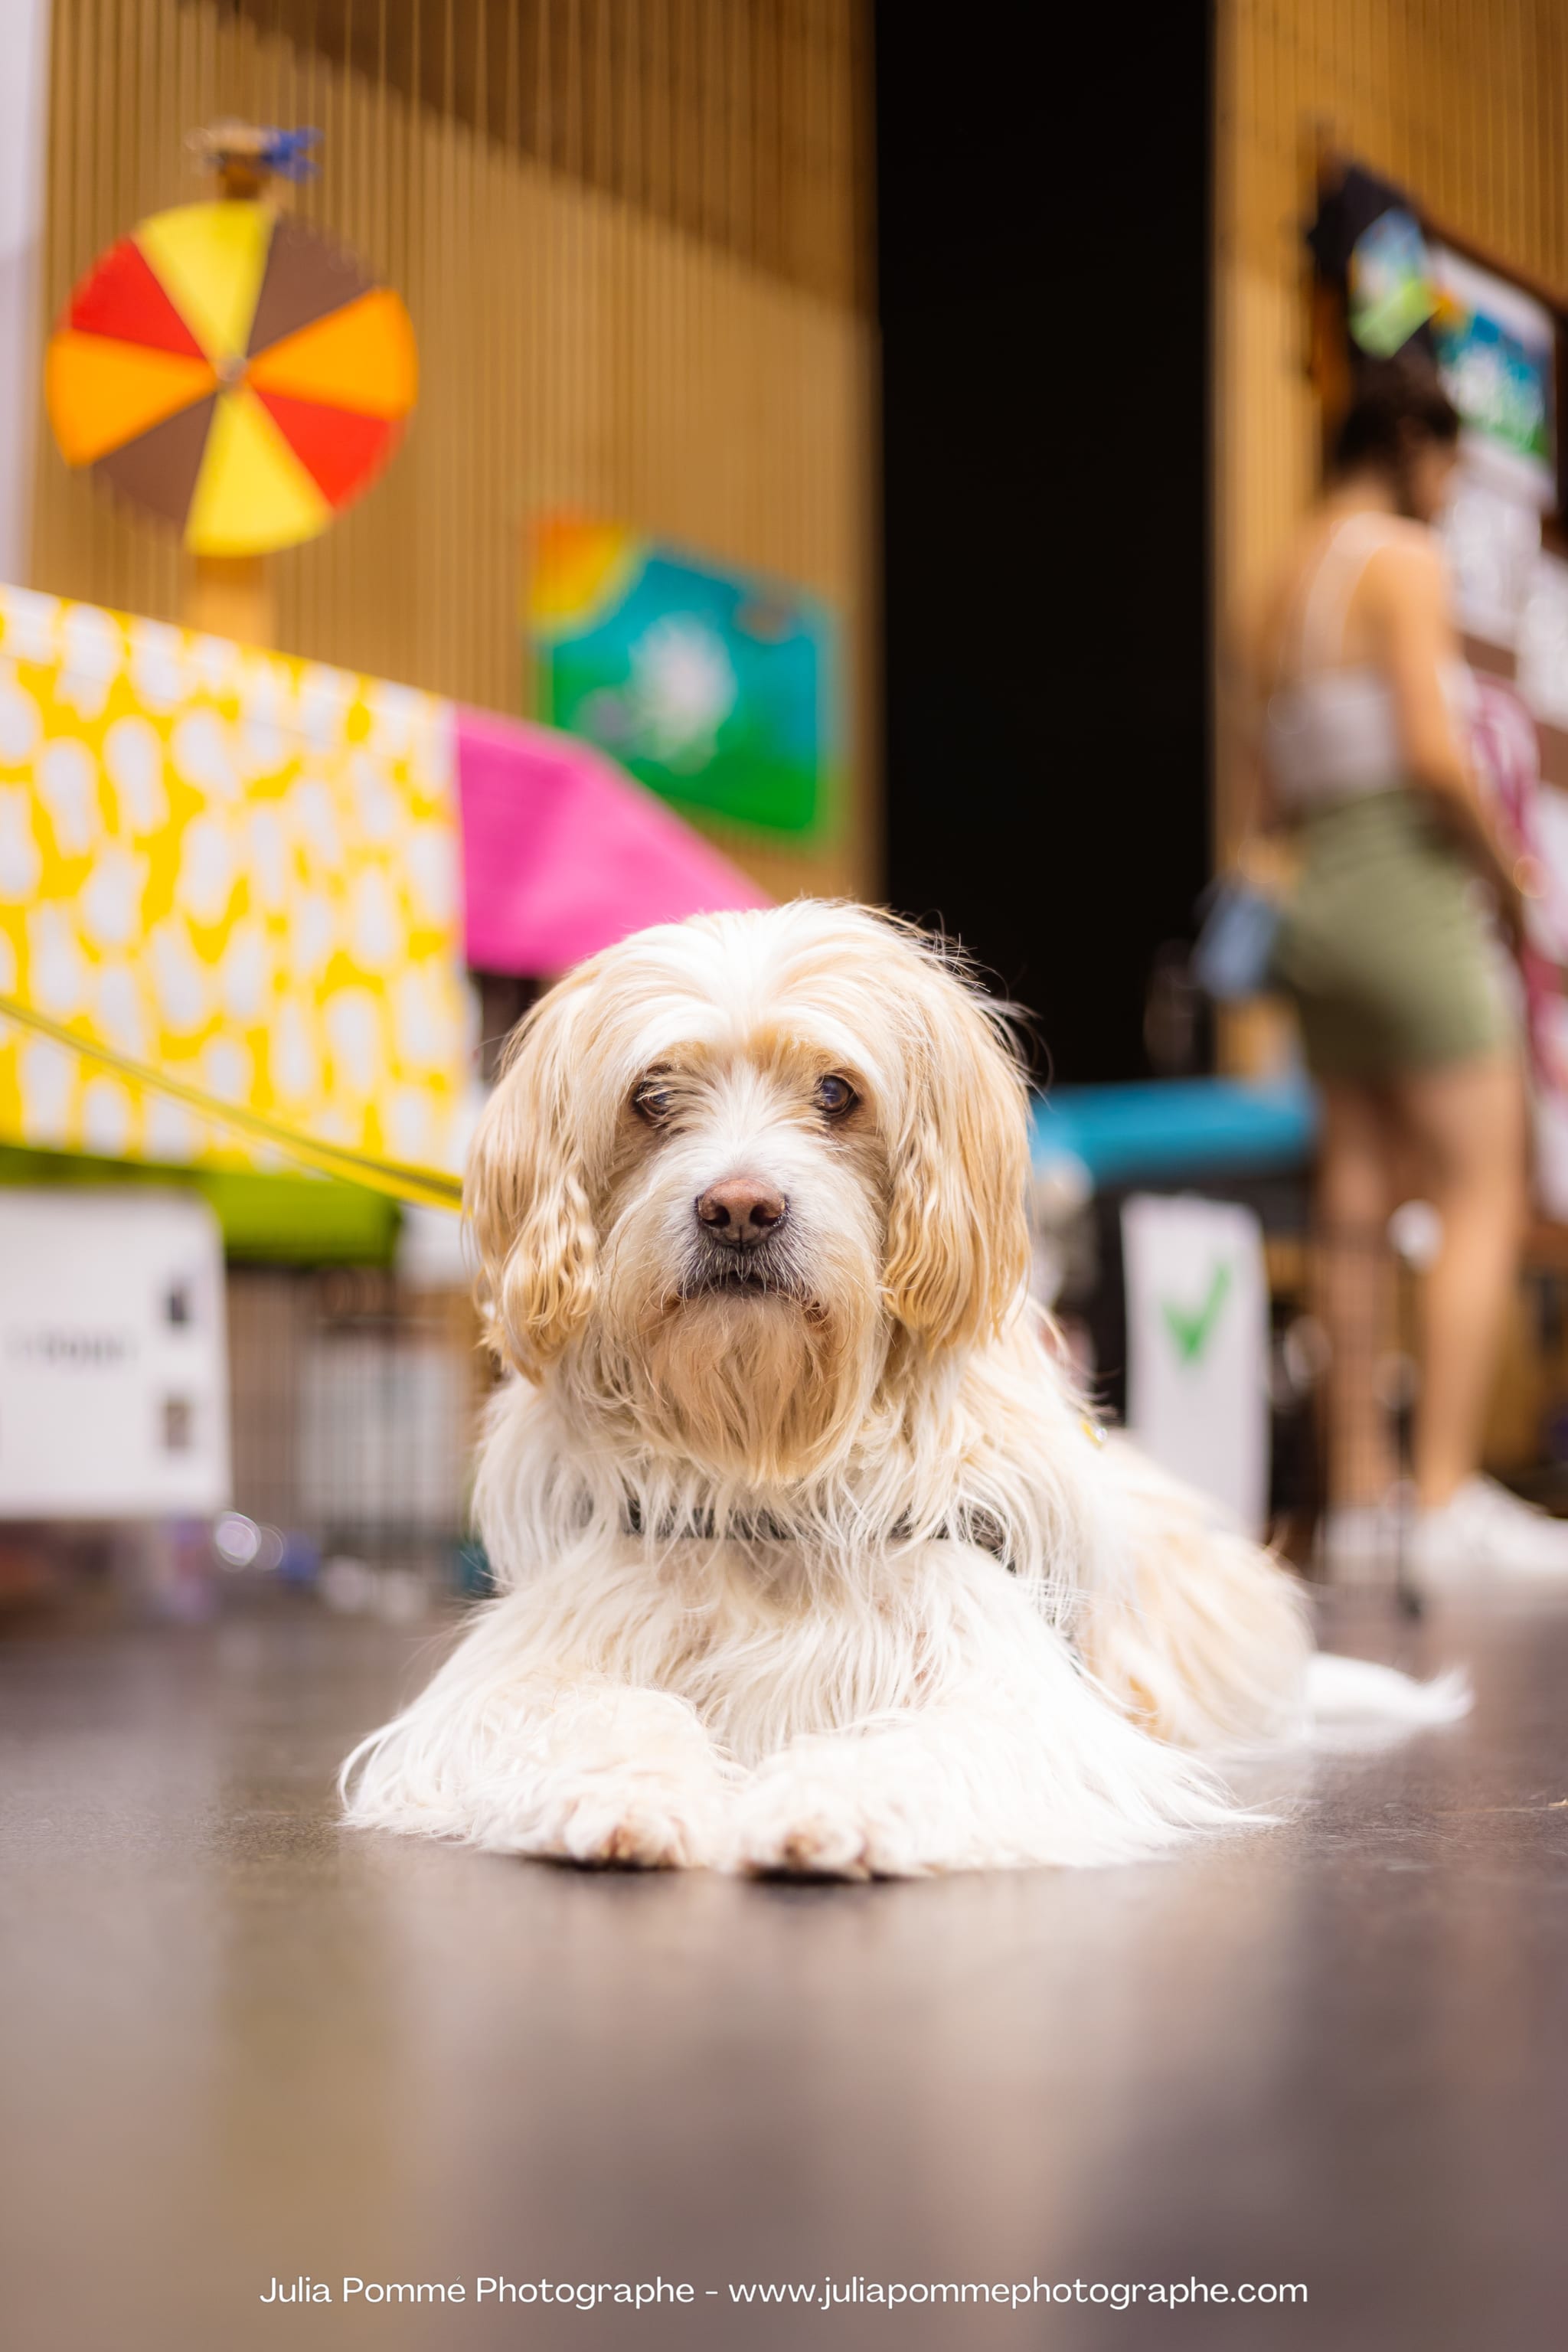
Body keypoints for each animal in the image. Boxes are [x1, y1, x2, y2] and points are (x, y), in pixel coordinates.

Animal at [343, 898, 1476, 1872]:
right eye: (652, 1096)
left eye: (836, 1092)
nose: (739, 1210)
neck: (768, 1474)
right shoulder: (540, 1660)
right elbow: (603, 1713)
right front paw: (621, 1795)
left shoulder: (1002, 1680)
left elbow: (916, 1739)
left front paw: (833, 1804)